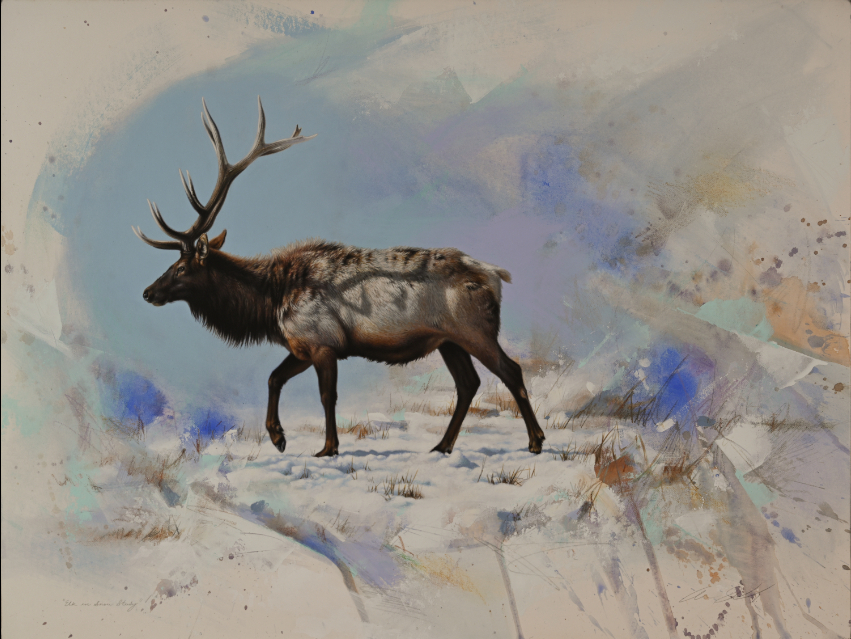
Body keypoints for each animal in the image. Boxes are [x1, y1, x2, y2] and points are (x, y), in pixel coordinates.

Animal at [135, 97, 545, 458]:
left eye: (181, 268)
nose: (147, 292)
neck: (270, 302)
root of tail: (496, 275)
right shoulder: (302, 345)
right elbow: (273, 377)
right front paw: (278, 438)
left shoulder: (323, 342)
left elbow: (326, 396)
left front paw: (327, 447)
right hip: (448, 341)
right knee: (468, 384)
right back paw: (442, 445)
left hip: (474, 329)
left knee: (511, 371)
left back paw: (536, 441)